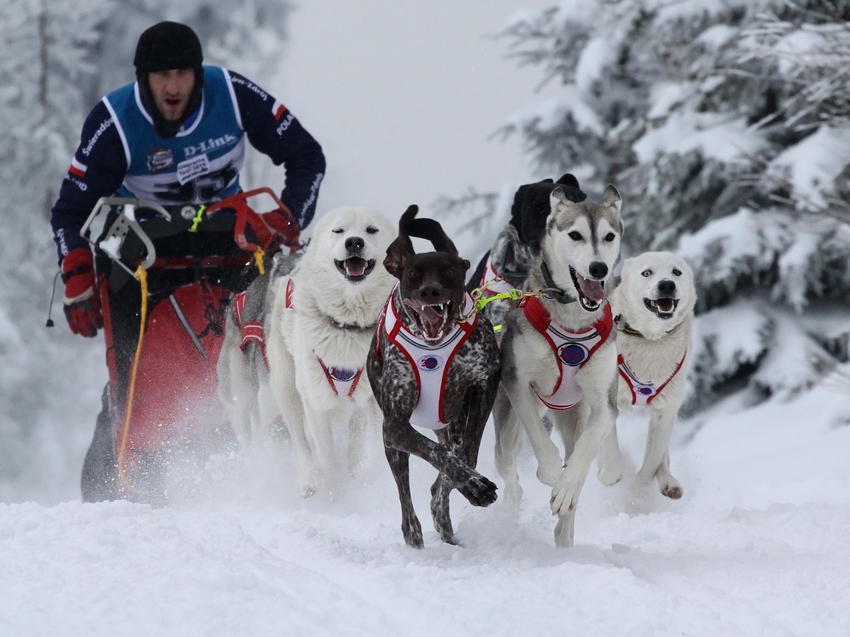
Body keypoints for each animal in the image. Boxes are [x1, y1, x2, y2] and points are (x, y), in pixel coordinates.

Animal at [262, 206, 394, 494]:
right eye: (339, 230)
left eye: (371, 230)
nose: (354, 242)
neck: (349, 326)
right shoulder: (316, 403)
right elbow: (327, 460)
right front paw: (336, 494)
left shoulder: (375, 399)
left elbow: (376, 453)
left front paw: (365, 474)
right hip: (287, 388)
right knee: (301, 442)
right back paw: (308, 479)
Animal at [368, 204, 500, 548]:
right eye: (413, 274)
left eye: (449, 272)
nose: (430, 291)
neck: (433, 350)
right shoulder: (394, 425)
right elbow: (438, 455)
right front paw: (473, 485)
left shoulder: (487, 380)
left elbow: (465, 454)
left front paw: (461, 486)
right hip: (392, 445)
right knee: (404, 490)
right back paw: (413, 532)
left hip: (450, 421)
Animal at [600, 251, 692, 500]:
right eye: (647, 272)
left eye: (676, 272)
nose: (667, 284)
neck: (649, 339)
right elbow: (609, 448)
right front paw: (610, 474)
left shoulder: (665, 412)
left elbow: (652, 461)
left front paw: (638, 491)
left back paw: (668, 481)